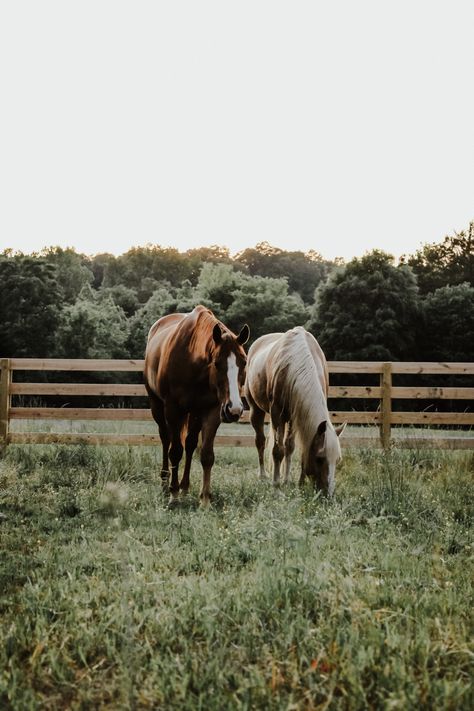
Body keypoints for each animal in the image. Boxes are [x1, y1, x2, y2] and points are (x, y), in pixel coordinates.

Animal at [143, 306, 248, 506]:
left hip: (195, 413)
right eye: (217, 363)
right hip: (157, 406)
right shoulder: (173, 409)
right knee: (166, 439)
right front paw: (173, 494)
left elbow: (206, 455)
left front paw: (205, 500)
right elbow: (175, 451)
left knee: (190, 444)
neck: (193, 360)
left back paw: (185, 487)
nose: (234, 409)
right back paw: (165, 483)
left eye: (244, 362)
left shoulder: (212, 411)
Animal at [244, 326, 344, 496]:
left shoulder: (295, 416)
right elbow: (278, 450)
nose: (328, 495)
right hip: (256, 410)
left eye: (337, 460)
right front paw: (277, 485)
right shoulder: (277, 414)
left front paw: (293, 482)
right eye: (319, 458)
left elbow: (292, 448)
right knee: (260, 441)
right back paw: (263, 476)